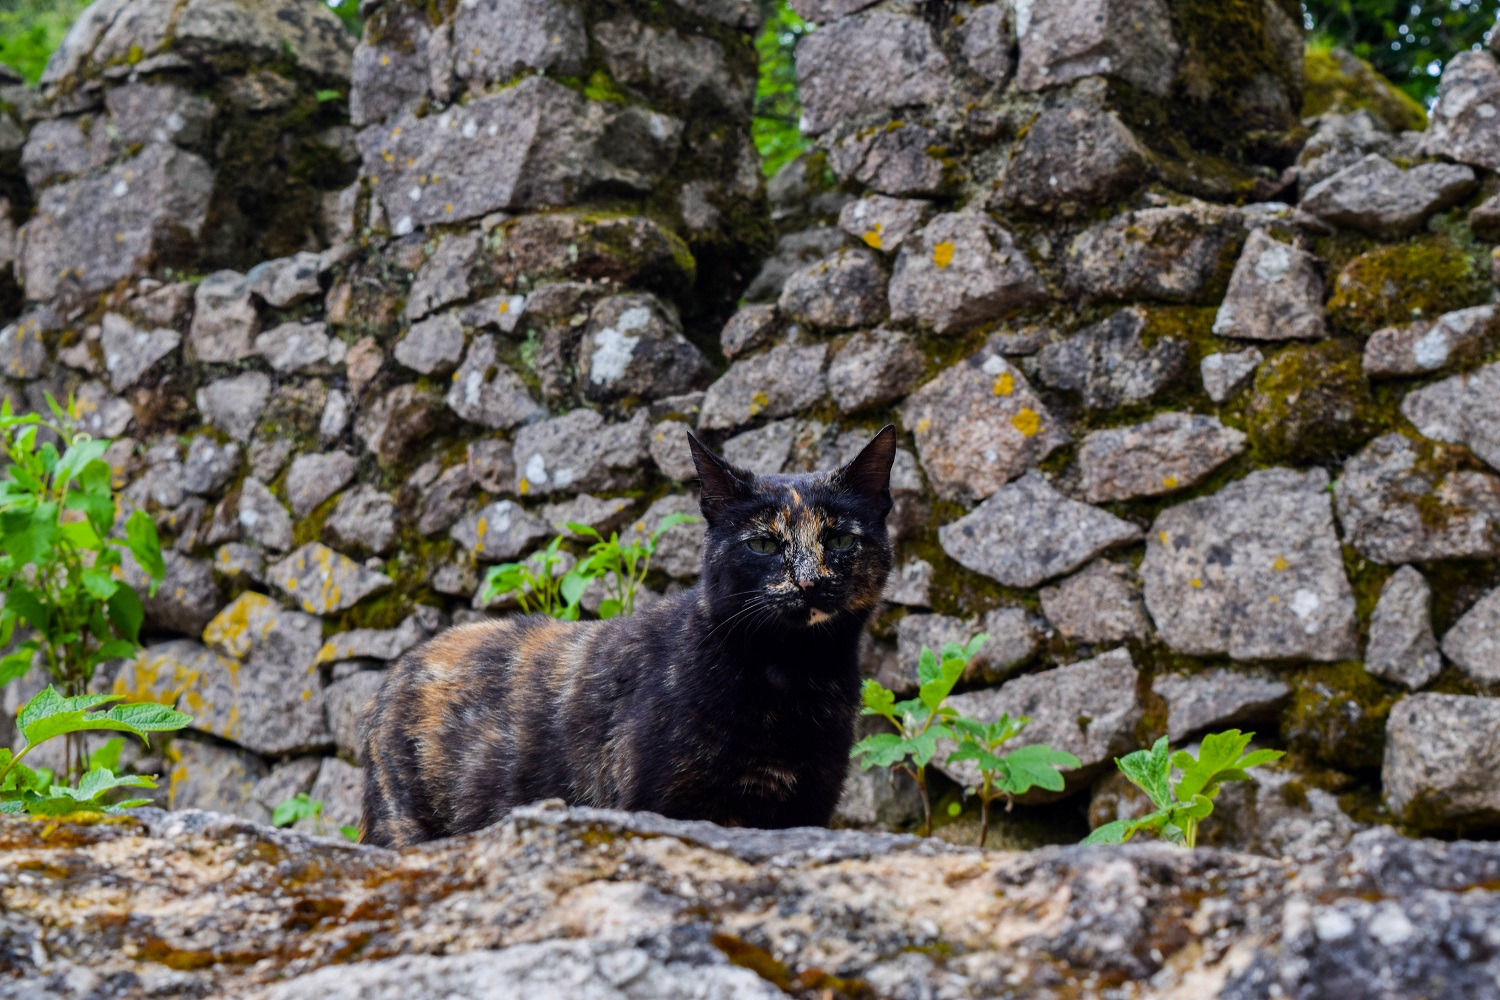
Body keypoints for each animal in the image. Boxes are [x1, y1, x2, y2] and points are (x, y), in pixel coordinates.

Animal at [360, 425, 900, 851]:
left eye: (840, 539)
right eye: (764, 544)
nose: (809, 581)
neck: (792, 678)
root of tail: (395, 675)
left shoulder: (806, 810)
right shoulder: (661, 808)